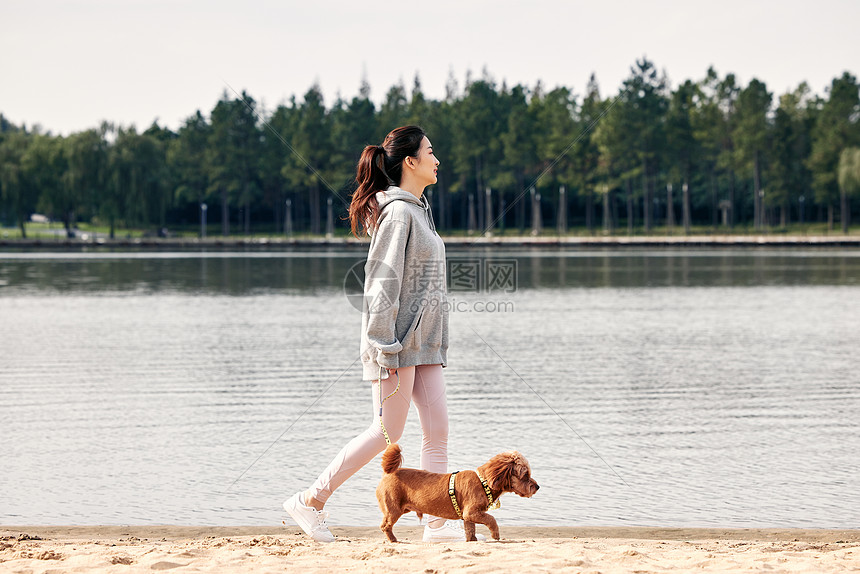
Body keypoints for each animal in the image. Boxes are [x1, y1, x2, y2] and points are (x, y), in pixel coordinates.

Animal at [376, 446, 536, 544]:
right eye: (525, 475)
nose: (537, 486)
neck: (483, 481)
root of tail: (388, 473)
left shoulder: (468, 516)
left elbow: (470, 530)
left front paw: (472, 541)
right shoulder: (472, 512)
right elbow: (491, 519)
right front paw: (495, 534)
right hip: (394, 509)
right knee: (385, 526)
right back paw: (393, 540)